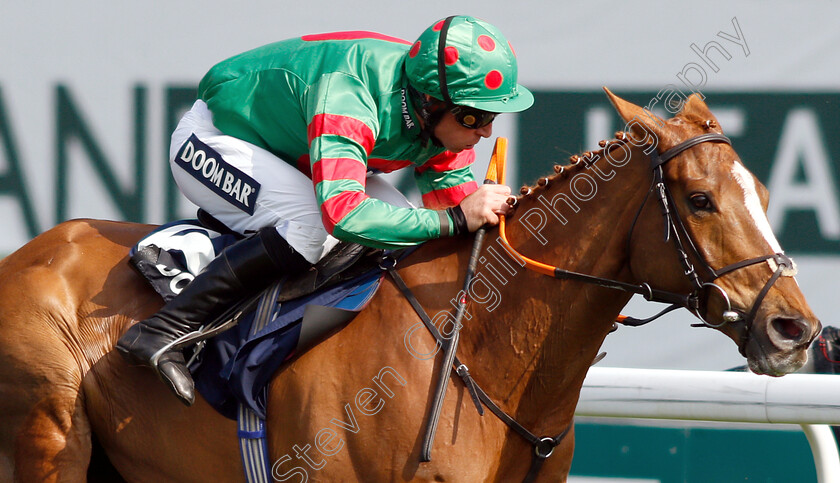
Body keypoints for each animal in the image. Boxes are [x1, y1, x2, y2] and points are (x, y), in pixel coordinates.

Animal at [0, 90, 820, 480]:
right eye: (700, 199)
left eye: (765, 195)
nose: (796, 330)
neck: (480, 348)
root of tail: (29, 253)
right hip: (46, 440)